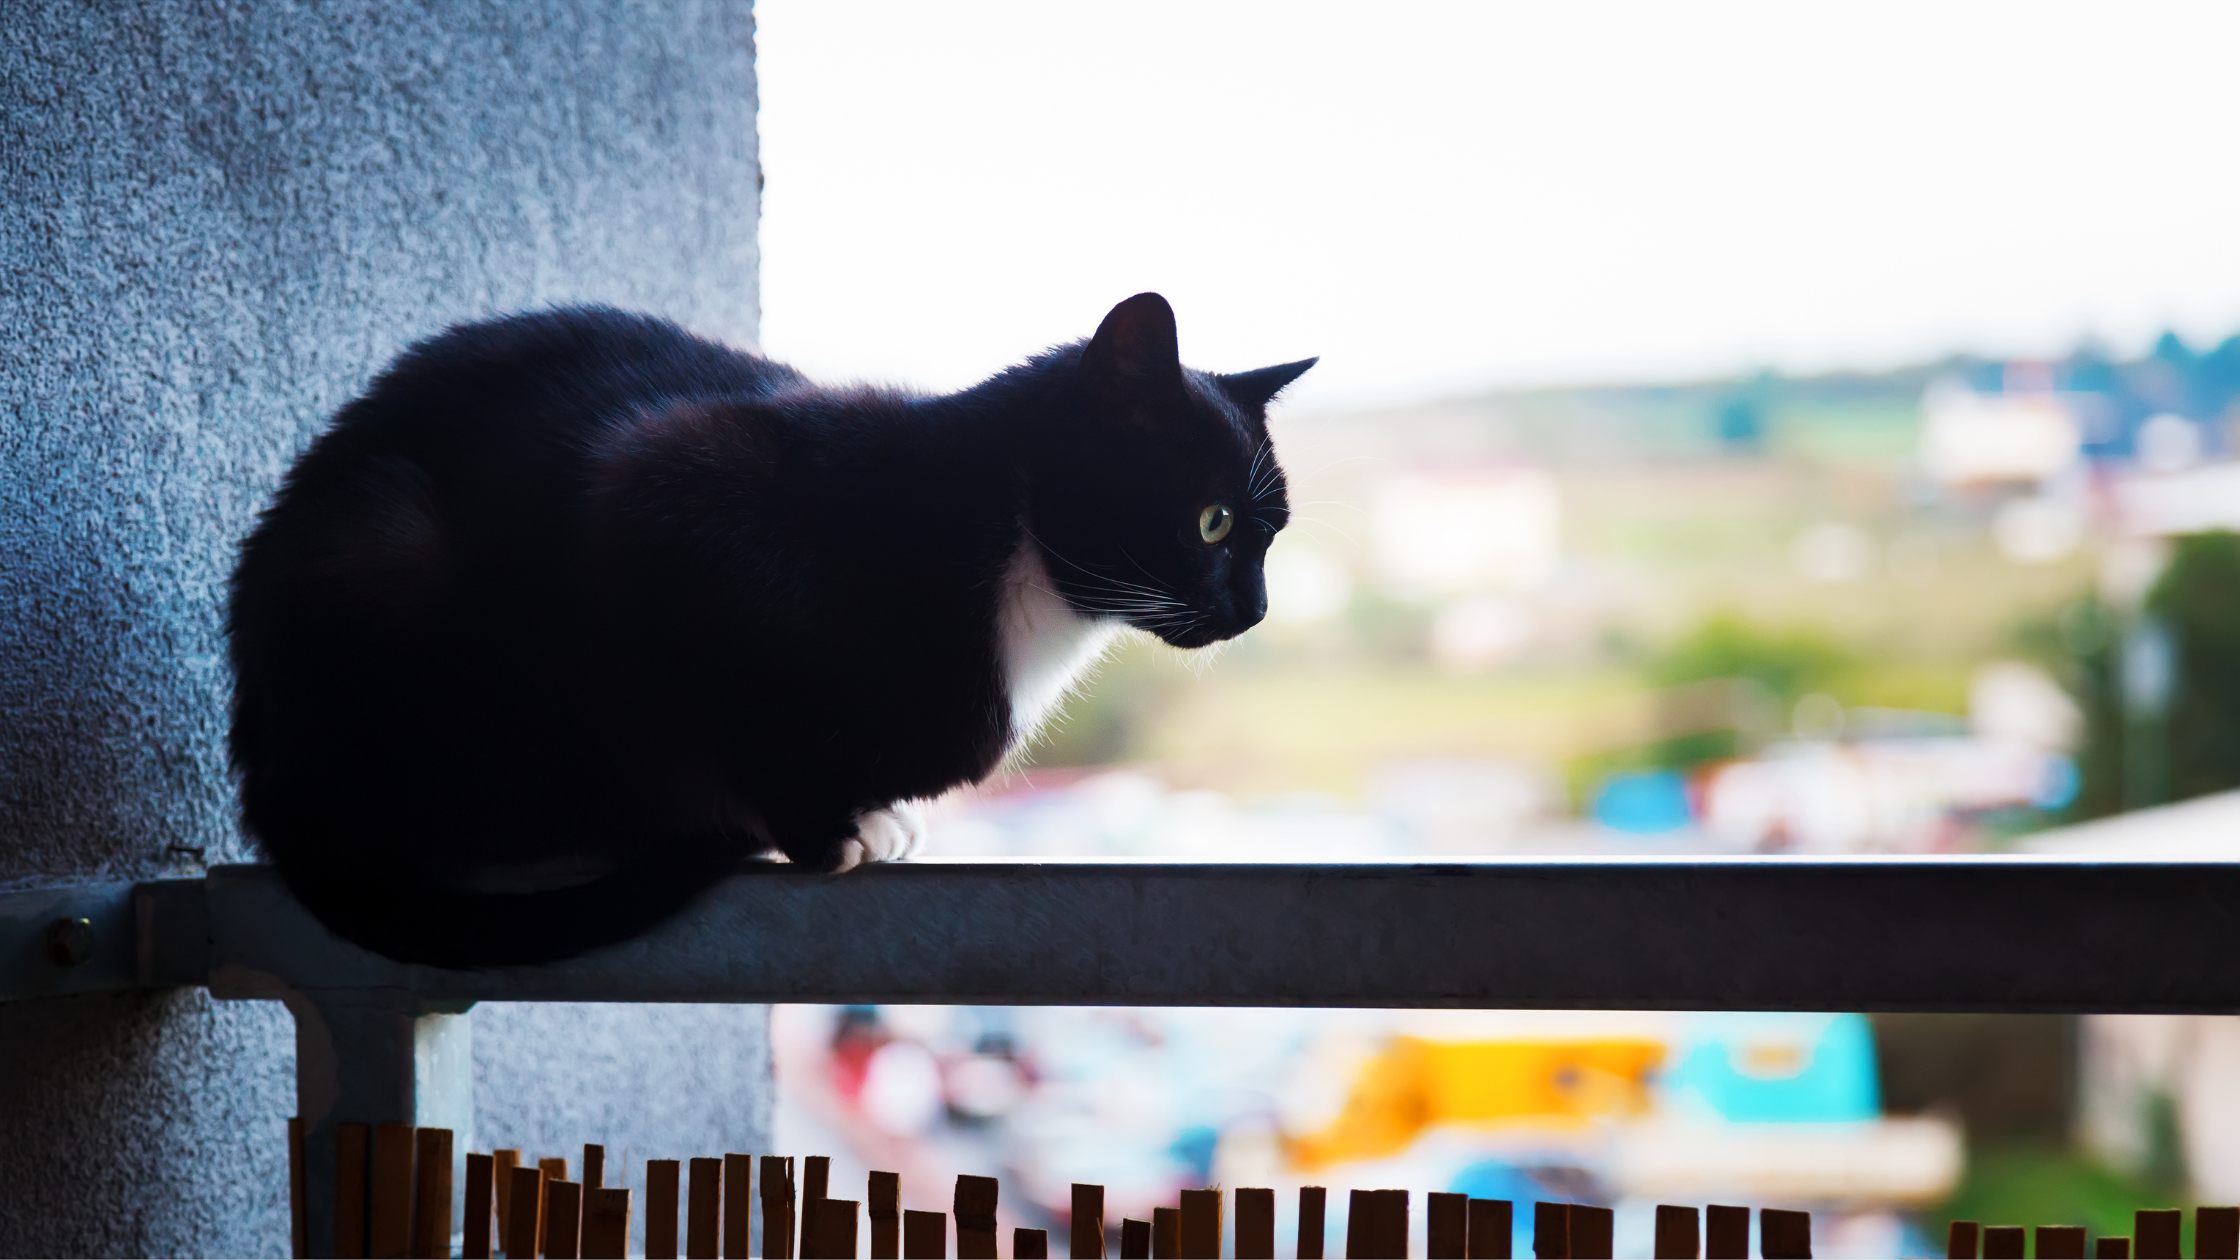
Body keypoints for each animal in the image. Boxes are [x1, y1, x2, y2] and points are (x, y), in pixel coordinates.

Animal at [227, 291, 1308, 959]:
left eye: (1273, 537)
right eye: (1212, 522)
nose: (1254, 611)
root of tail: (265, 777)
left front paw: (871, 813)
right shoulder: (668, 492)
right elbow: (726, 720)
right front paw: (815, 830)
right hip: (384, 548)